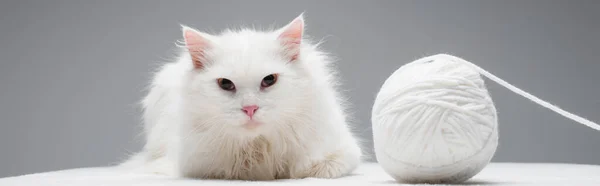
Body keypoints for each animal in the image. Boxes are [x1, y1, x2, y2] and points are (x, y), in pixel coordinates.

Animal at [123, 14, 360, 180]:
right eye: (225, 84)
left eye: (269, 80)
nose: (250, 109)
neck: (259, 148)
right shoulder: (197, 166)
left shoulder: (343, 154)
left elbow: (310, 169)